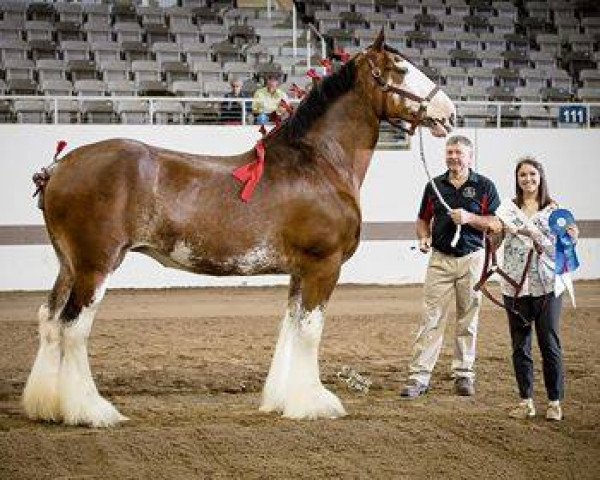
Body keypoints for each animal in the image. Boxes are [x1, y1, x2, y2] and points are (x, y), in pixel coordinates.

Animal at [22, 31, 454, 426]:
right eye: (401, 69)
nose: (448, 113)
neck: (318, 165)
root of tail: (58, 167)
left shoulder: (300, 271)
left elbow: (290, 327)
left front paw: (283, 401)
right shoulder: (324, 266)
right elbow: (310, 331)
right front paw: (314, 404)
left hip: (69, 266)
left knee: (49, 319)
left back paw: (46, 405)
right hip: (96, 266)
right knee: (73, 327)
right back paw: (90, 411)